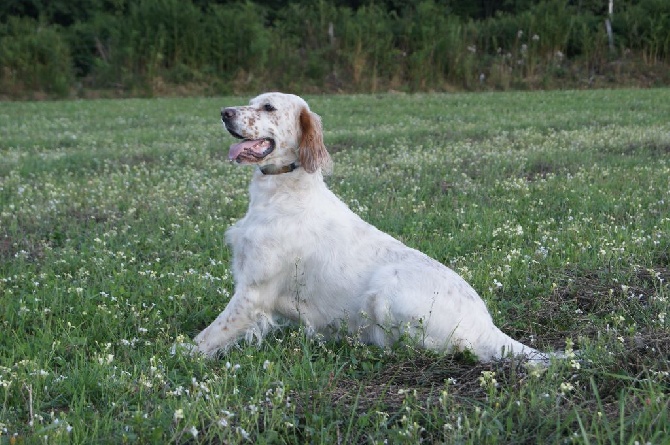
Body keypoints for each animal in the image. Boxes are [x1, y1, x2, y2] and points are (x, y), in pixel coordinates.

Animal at [192, 93, 548, 360]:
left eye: (268, 107)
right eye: (251, 102)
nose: (224, 113)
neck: (282, 190)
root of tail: (487, 327)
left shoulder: (253, 292)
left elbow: (203, 339)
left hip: (384, 293)